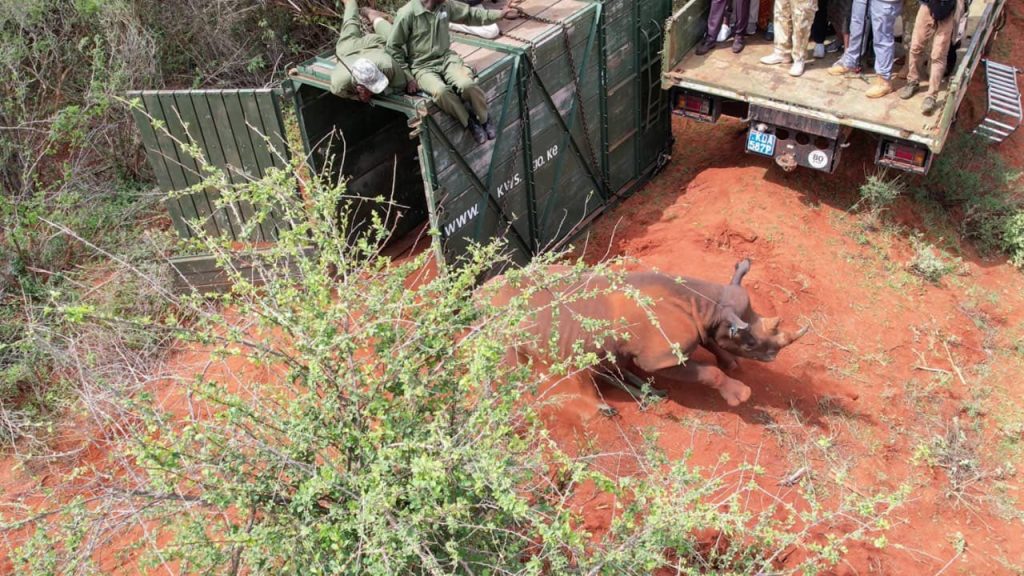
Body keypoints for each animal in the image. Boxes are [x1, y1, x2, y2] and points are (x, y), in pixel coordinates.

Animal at [487, 259, 808, 407]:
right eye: (751, 342)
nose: (773, 356)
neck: (707, 306)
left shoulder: (709, 322)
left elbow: (712, 343)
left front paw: (731, 363)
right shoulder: (661, 358)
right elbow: (708, 373)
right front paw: (740, 396)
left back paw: (646, 393)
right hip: (503, 327)